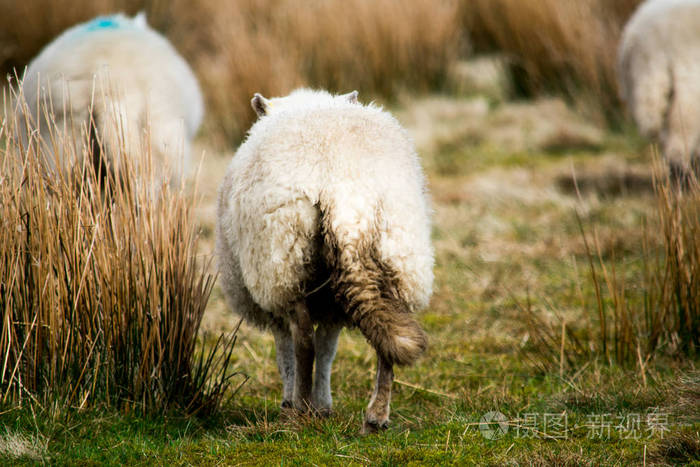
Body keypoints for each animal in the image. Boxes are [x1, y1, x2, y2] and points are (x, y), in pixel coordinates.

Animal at [216, 88, 434, 436]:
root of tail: (344, 189)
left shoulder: (275, 299)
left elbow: (287, 352)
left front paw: (294, 402)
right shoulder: (332, 307)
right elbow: (329, 348)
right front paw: (324, 405)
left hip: (285, 259)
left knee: (303, 339)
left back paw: (300, 410)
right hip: (399, 249)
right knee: (387, 336)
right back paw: (376, 416)